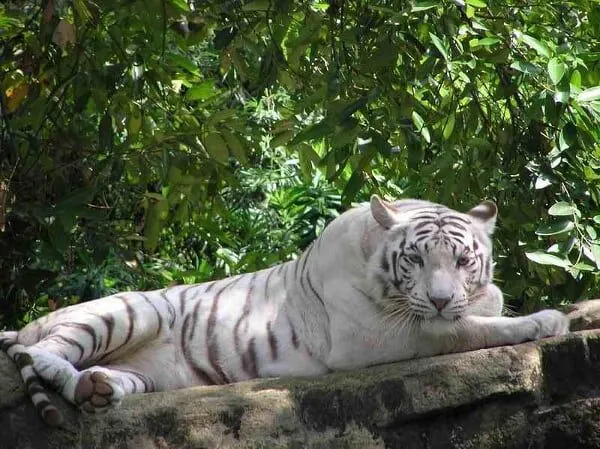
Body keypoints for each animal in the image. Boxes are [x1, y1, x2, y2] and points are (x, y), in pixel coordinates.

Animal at [0, 196, 568, 424]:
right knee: (44, 349)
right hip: (130, 311)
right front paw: (547, 319)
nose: (441, 298)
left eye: (464, 260)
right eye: (415, 259)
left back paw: (96, 390)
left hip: (151, 374)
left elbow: (486, 304)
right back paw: (66, 371)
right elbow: (466, 330)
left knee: (104, 377)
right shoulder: (378, 336)